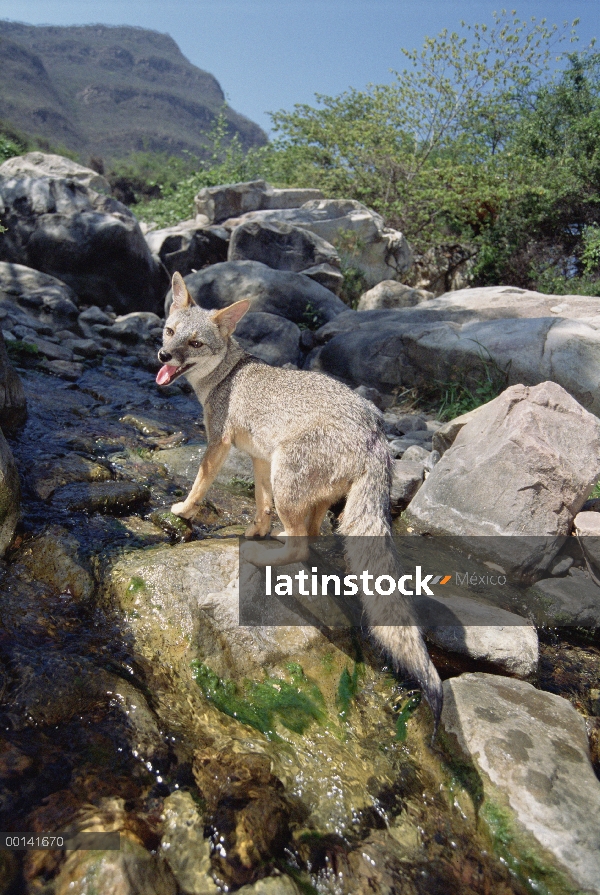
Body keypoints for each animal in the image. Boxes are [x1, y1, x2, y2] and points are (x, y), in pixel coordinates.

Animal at [157, 270, 442, 724]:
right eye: (170, 331)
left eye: (195, 343)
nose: (163, 355)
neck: (227, 376)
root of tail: (375, 433)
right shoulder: (258, 458)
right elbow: (261, 506)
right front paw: (255, 530)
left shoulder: (219, 445)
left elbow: (200, 484)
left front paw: (184, 509)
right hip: (301, 487)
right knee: (309, 538)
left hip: (287, 477)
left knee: (299, 545)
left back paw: (261, 560)